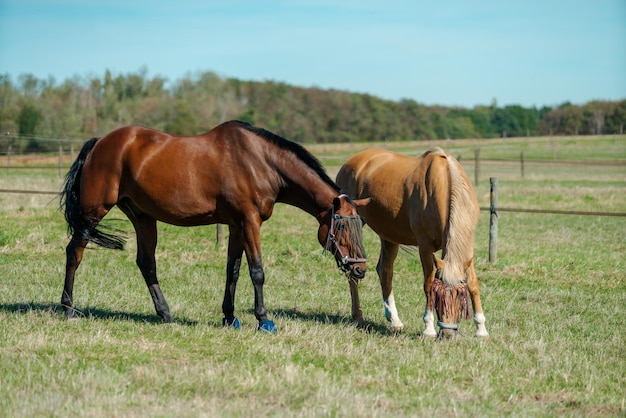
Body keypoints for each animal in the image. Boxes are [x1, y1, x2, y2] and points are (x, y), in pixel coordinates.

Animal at [60, 119, 368, 332]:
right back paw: (68, 308)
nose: (360, 269)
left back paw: (165, 314)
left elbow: (233, 271)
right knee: (74, 252)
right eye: (341, 226)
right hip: (93, 212)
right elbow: (257, 272)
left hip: (143, 217)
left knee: (146, 263)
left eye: (361, 225)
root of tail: (99, 142)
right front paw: (264, 320)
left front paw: (230, 317)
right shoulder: (249, 222)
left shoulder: (236, 226)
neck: (261, 161)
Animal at [336, 149, 488, 338]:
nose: (447, 334)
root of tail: (350, 163)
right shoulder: (425, 246)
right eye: (438, 297)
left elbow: (473, 284)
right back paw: (358, 316)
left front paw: (481, 329)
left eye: (461, 296)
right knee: (353, 272)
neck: (446, 182)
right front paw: (428, 329)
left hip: (389, 235)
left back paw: (394, 321)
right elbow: (428, 283)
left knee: (385, 271)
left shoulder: (467, 248)